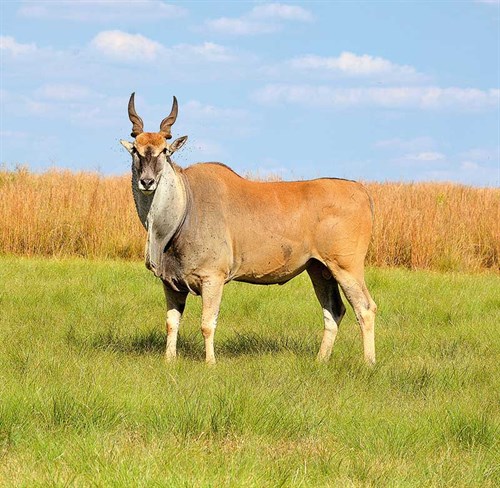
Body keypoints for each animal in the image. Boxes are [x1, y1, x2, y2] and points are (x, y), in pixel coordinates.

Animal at [120, 93, 376, 364]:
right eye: (135, 150)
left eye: (164, 151)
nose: (147, 181)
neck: (186, 206)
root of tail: (362, 191)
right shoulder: (171, 283)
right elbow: (171, 323)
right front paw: (169, 360)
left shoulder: (213, 278)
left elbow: (207, 324)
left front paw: (210, 363)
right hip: (319, 269)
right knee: (334, 311)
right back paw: (320, 361)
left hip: (346, 267)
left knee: (365, 308)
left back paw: (369, 363)